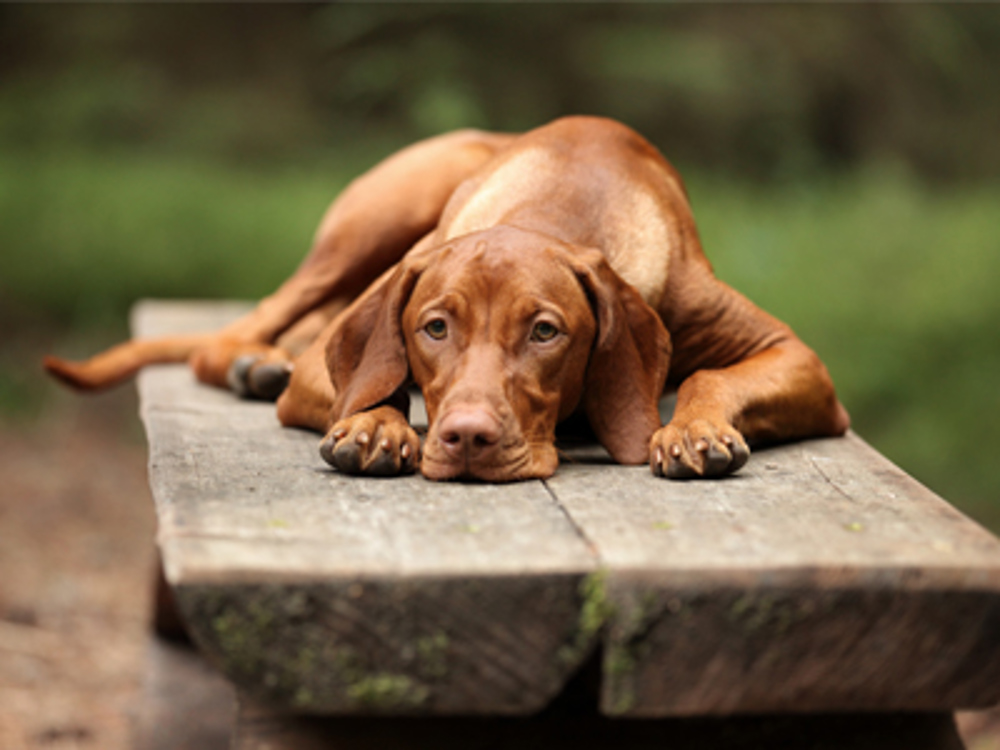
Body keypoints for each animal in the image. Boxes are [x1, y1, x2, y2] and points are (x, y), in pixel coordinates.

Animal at [43, 117, 848, 482]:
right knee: (242, 331)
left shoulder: (796, 355)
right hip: (377, 221)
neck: (562, 206)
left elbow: (711, 374)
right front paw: (378, 427)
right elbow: (371, 386)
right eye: (434, 328)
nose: (465, 439)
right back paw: (256, 364)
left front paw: (691, 428)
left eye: (546, 332)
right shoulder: (345, 356)